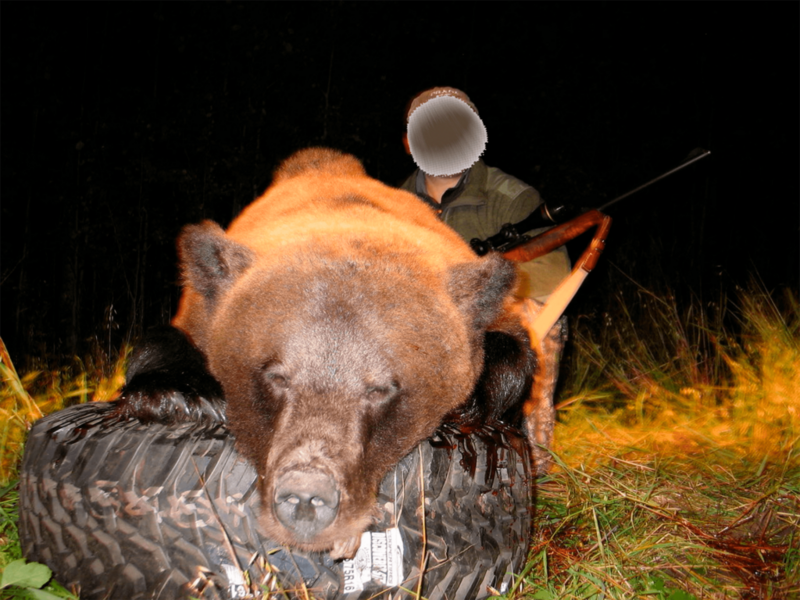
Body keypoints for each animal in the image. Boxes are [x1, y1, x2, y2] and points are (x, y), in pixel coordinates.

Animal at [112, 148, 536, 560]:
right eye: (277, 375)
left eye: (380, 388)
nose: (305, 496)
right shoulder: (200, 313)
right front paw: (181, 395)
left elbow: (514, 360)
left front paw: (473, 404)